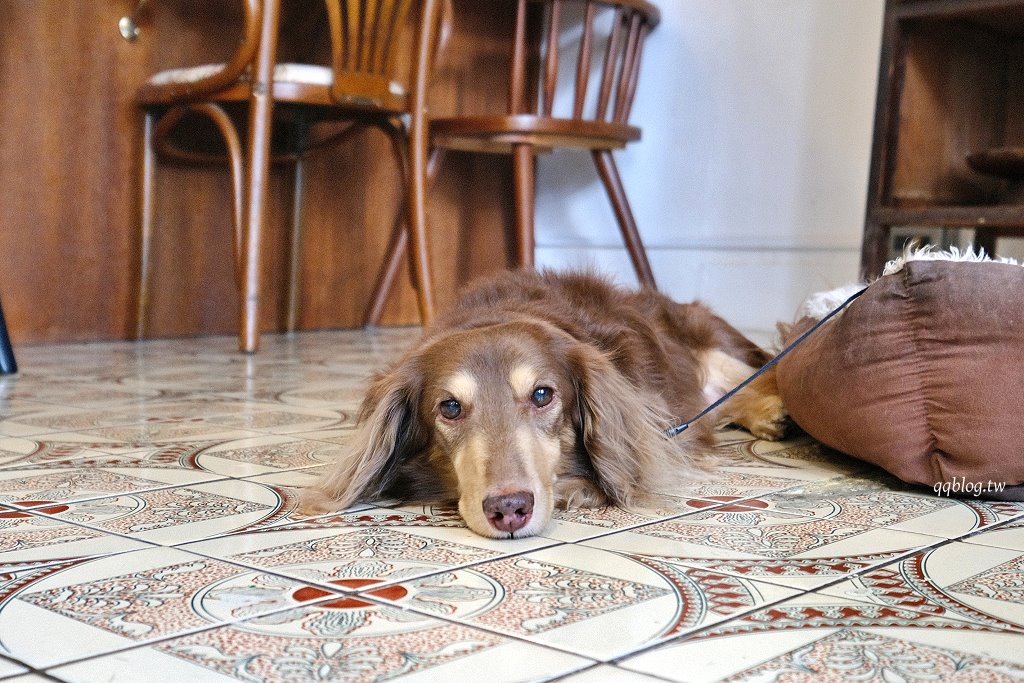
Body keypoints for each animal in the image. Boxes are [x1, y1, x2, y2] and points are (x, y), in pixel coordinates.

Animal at [299, 270, 786, 540]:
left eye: (541, 395)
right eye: (450, 408)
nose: (509, 509)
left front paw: (575, 489)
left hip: (716, 347)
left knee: (758, 376)